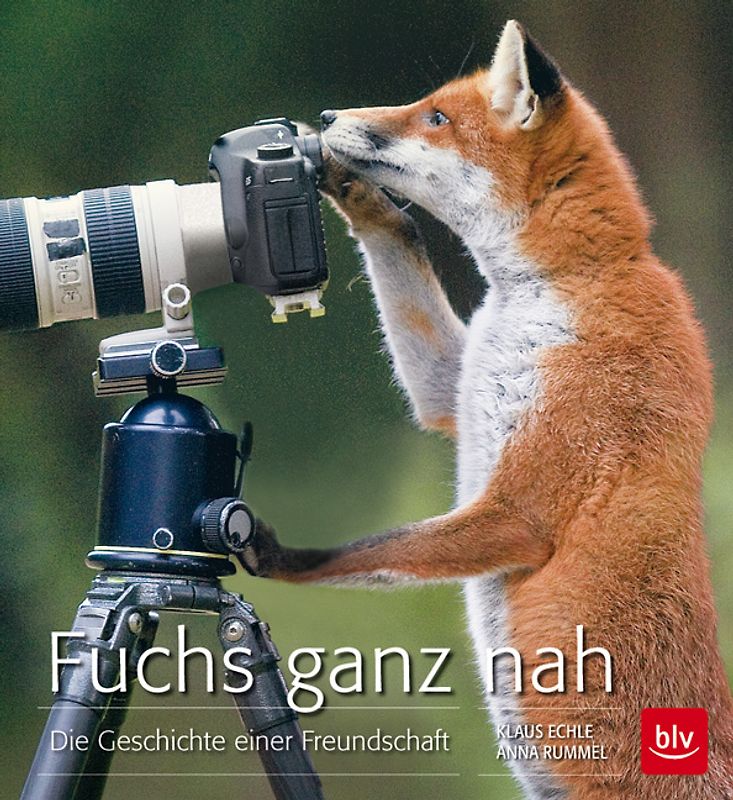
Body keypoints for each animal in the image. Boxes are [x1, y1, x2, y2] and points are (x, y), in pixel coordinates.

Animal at [239, 20, 733, 800]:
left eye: (436, 119)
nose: (326, 118)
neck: (555, 289)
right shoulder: (453, 385)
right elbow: (404, 241)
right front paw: (354, 192)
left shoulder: (520, 507)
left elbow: (375, 550)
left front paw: (280, 557)